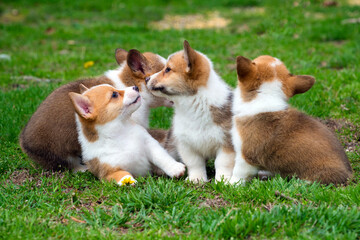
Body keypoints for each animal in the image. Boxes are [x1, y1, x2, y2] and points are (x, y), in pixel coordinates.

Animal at [147, 40, 235, 182]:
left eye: (168, 69)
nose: (146, 79)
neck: (195, 103)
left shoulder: (226, 144)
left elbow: (222, 163)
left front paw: (223, 181)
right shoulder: (185, 144)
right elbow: (195, 163)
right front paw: (196, 180)